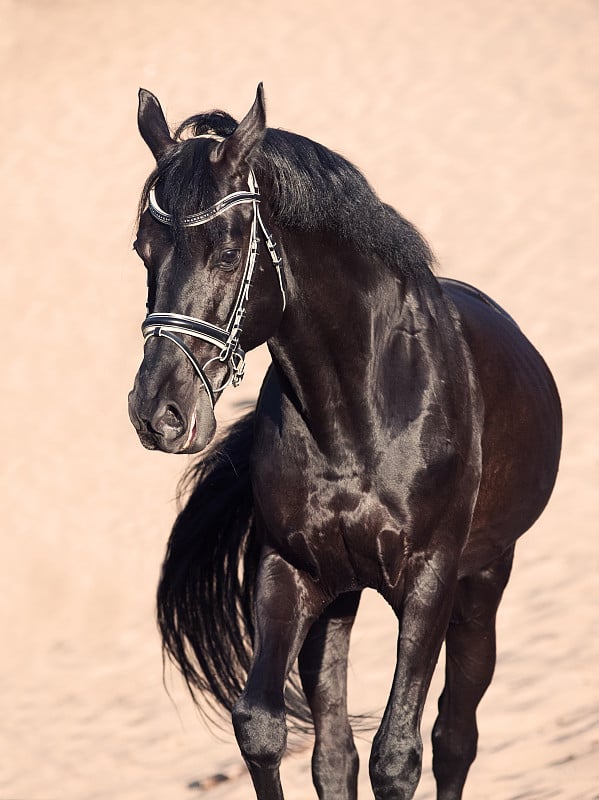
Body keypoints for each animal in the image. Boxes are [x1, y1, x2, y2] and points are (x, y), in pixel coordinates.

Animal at [130, 86, 564, 800]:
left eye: (227, 251)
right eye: (143, 249)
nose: (158, 413)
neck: (356, 418)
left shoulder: (431, 579)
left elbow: (399, 755)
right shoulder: (290, 570)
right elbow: (264, 729)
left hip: (482, 584)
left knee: (455, 736)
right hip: (340, 599)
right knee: (335, 751)